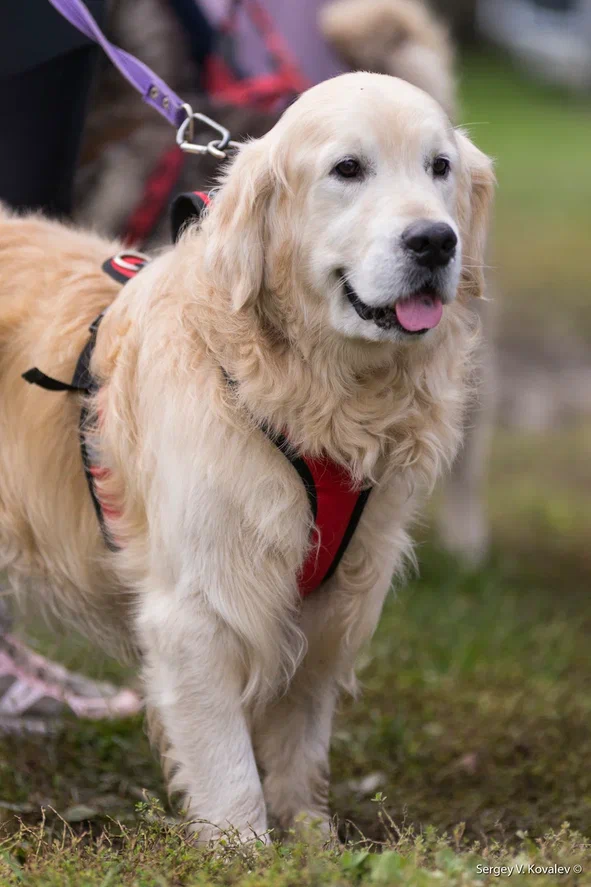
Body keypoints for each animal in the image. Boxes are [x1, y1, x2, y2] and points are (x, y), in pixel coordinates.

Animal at [0, 73, 494, 844]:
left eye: (438, 166)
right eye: (347, 168)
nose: (434, 241)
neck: (320, 400)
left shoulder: (331, 597)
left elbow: (299, 744)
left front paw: (311, 842)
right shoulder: (198, 607)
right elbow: (228, 764)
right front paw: (245, 849)